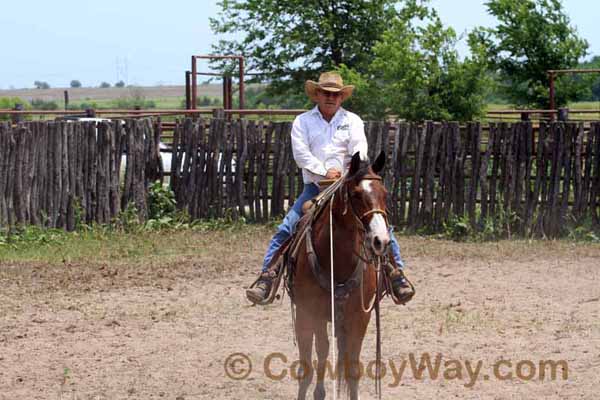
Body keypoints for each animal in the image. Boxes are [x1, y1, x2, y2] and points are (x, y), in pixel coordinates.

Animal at [290, 151, 390, 400]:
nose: (381, 241)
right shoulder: (310, 312)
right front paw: (318, 392)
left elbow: (352, 369)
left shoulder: (360, 318)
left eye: (385, 194)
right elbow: (314, 359)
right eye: (356, 195)